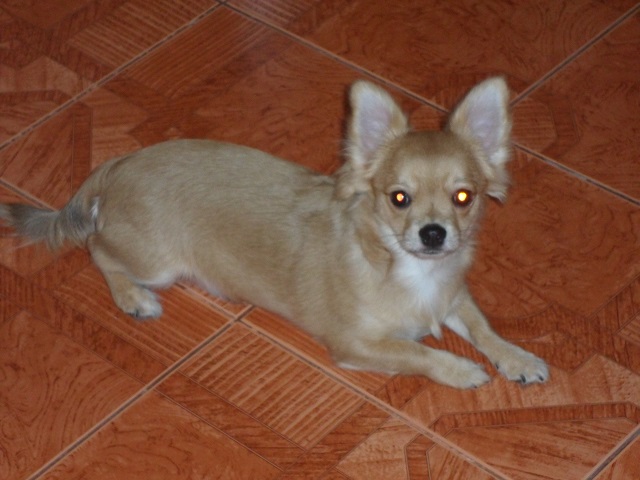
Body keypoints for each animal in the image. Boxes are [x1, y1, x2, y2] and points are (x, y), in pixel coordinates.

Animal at [0, 78, 549, 389]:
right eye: (399, 199)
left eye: (464, 197)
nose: (434, 234)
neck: (411, 272)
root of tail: (121, 162)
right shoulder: (356, 343)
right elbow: (420, 352)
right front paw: (460, 370)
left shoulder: (454, 296)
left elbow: (483, 327)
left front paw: (516, 358)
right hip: (155, 263)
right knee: (97, 248)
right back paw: (133, 297)